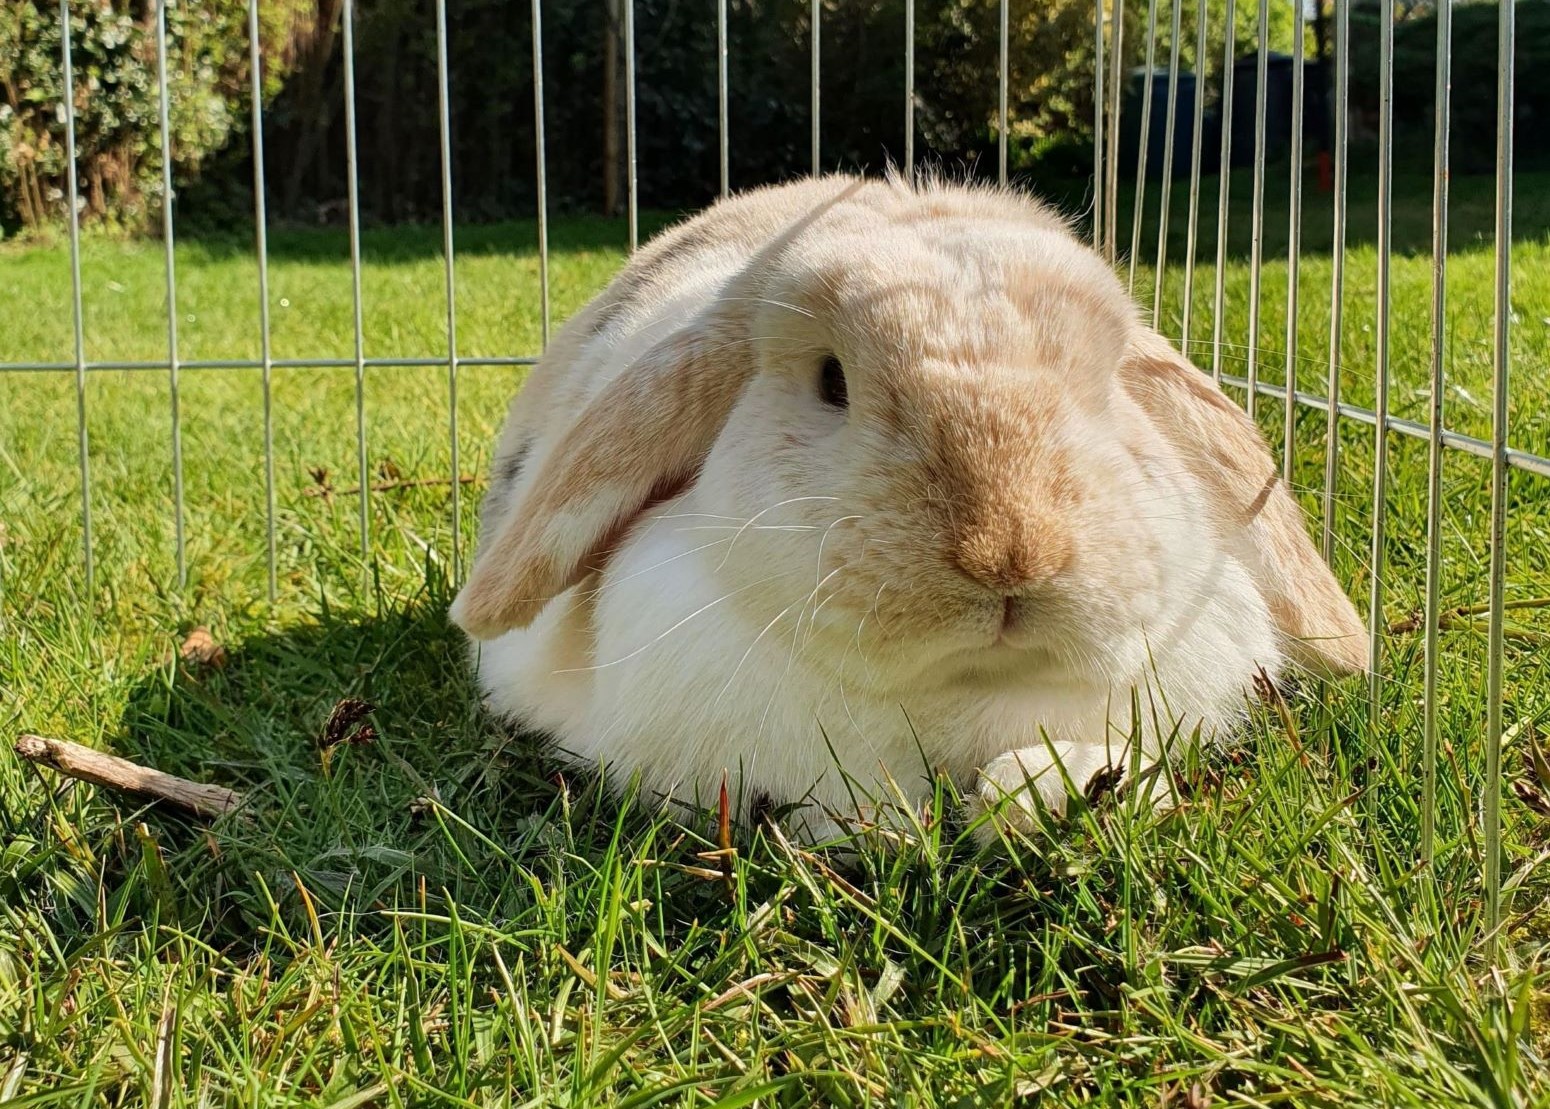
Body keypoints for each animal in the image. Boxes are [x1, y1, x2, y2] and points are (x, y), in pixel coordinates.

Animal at [450, 173, 1368, 844]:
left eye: (1108, 382)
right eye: (831, 381)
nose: (1010, 552)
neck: (960, 689)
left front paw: (1058, 792)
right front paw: (885, 825)